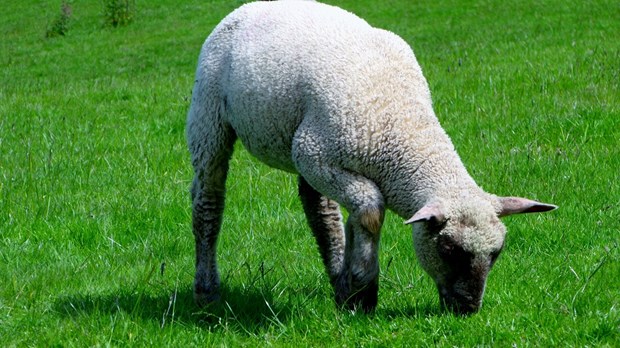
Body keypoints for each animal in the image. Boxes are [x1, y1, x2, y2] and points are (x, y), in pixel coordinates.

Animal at [185, 0, 556, 314]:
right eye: (449, 250)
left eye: (496, 252)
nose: (468, 309)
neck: (399, 122)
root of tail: (253, 6)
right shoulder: (316, 153)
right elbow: (371, 210)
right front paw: (363, 291)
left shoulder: (317, 158)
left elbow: (354, 214)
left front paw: (350, 288)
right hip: (209, 115)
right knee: (208, 199)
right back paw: (206, 290)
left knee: (319, 209)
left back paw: (336, 278)